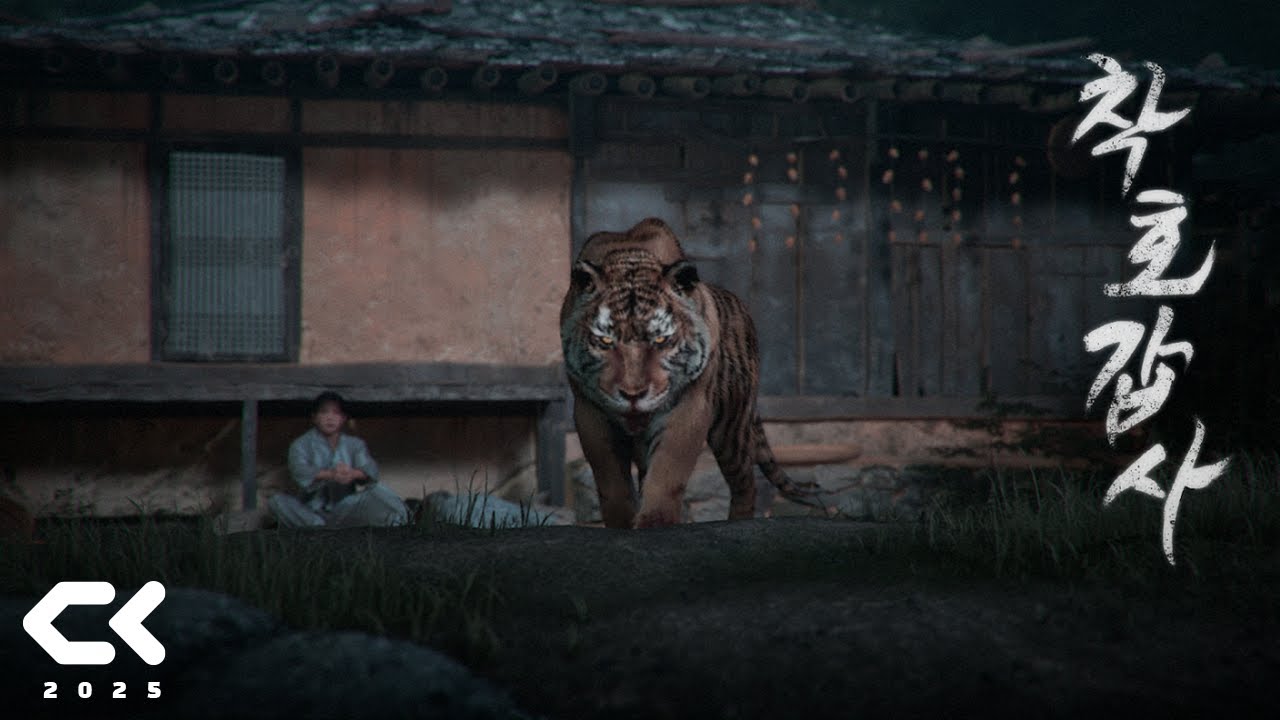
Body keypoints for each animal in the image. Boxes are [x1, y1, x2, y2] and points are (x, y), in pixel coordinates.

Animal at [560, 217, 821, 528]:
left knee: (745, 482)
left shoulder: (690, 405)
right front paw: (622, 521)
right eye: (605, 341)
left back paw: (738, 521)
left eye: (661, 340)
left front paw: (655, 521)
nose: (633, 395)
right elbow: (611, 480)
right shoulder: (589, 411)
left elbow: (668, 469)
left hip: (731, 428)